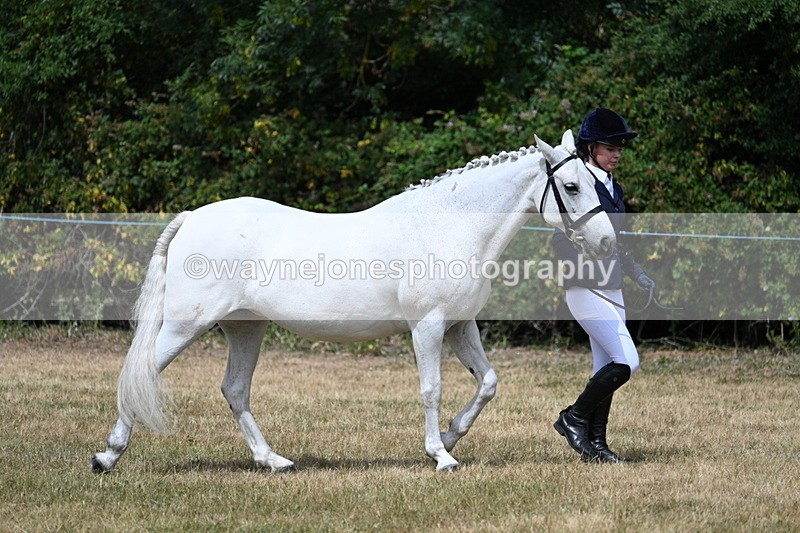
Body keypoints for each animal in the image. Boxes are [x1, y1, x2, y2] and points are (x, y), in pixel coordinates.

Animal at [92, 129, 615, 473]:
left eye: (595, 180)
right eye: (571, 186)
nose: (608, 243)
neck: (447, 225)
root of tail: (193, 217)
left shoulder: (459, 325)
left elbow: (487, 383)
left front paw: (450, 435)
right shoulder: (427, 326)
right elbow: (431, 388)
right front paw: (441, 455)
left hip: (246, 327)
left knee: (235, 390)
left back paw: (273, 461)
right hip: (186, 325)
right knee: (142, 374)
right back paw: (107, 456)